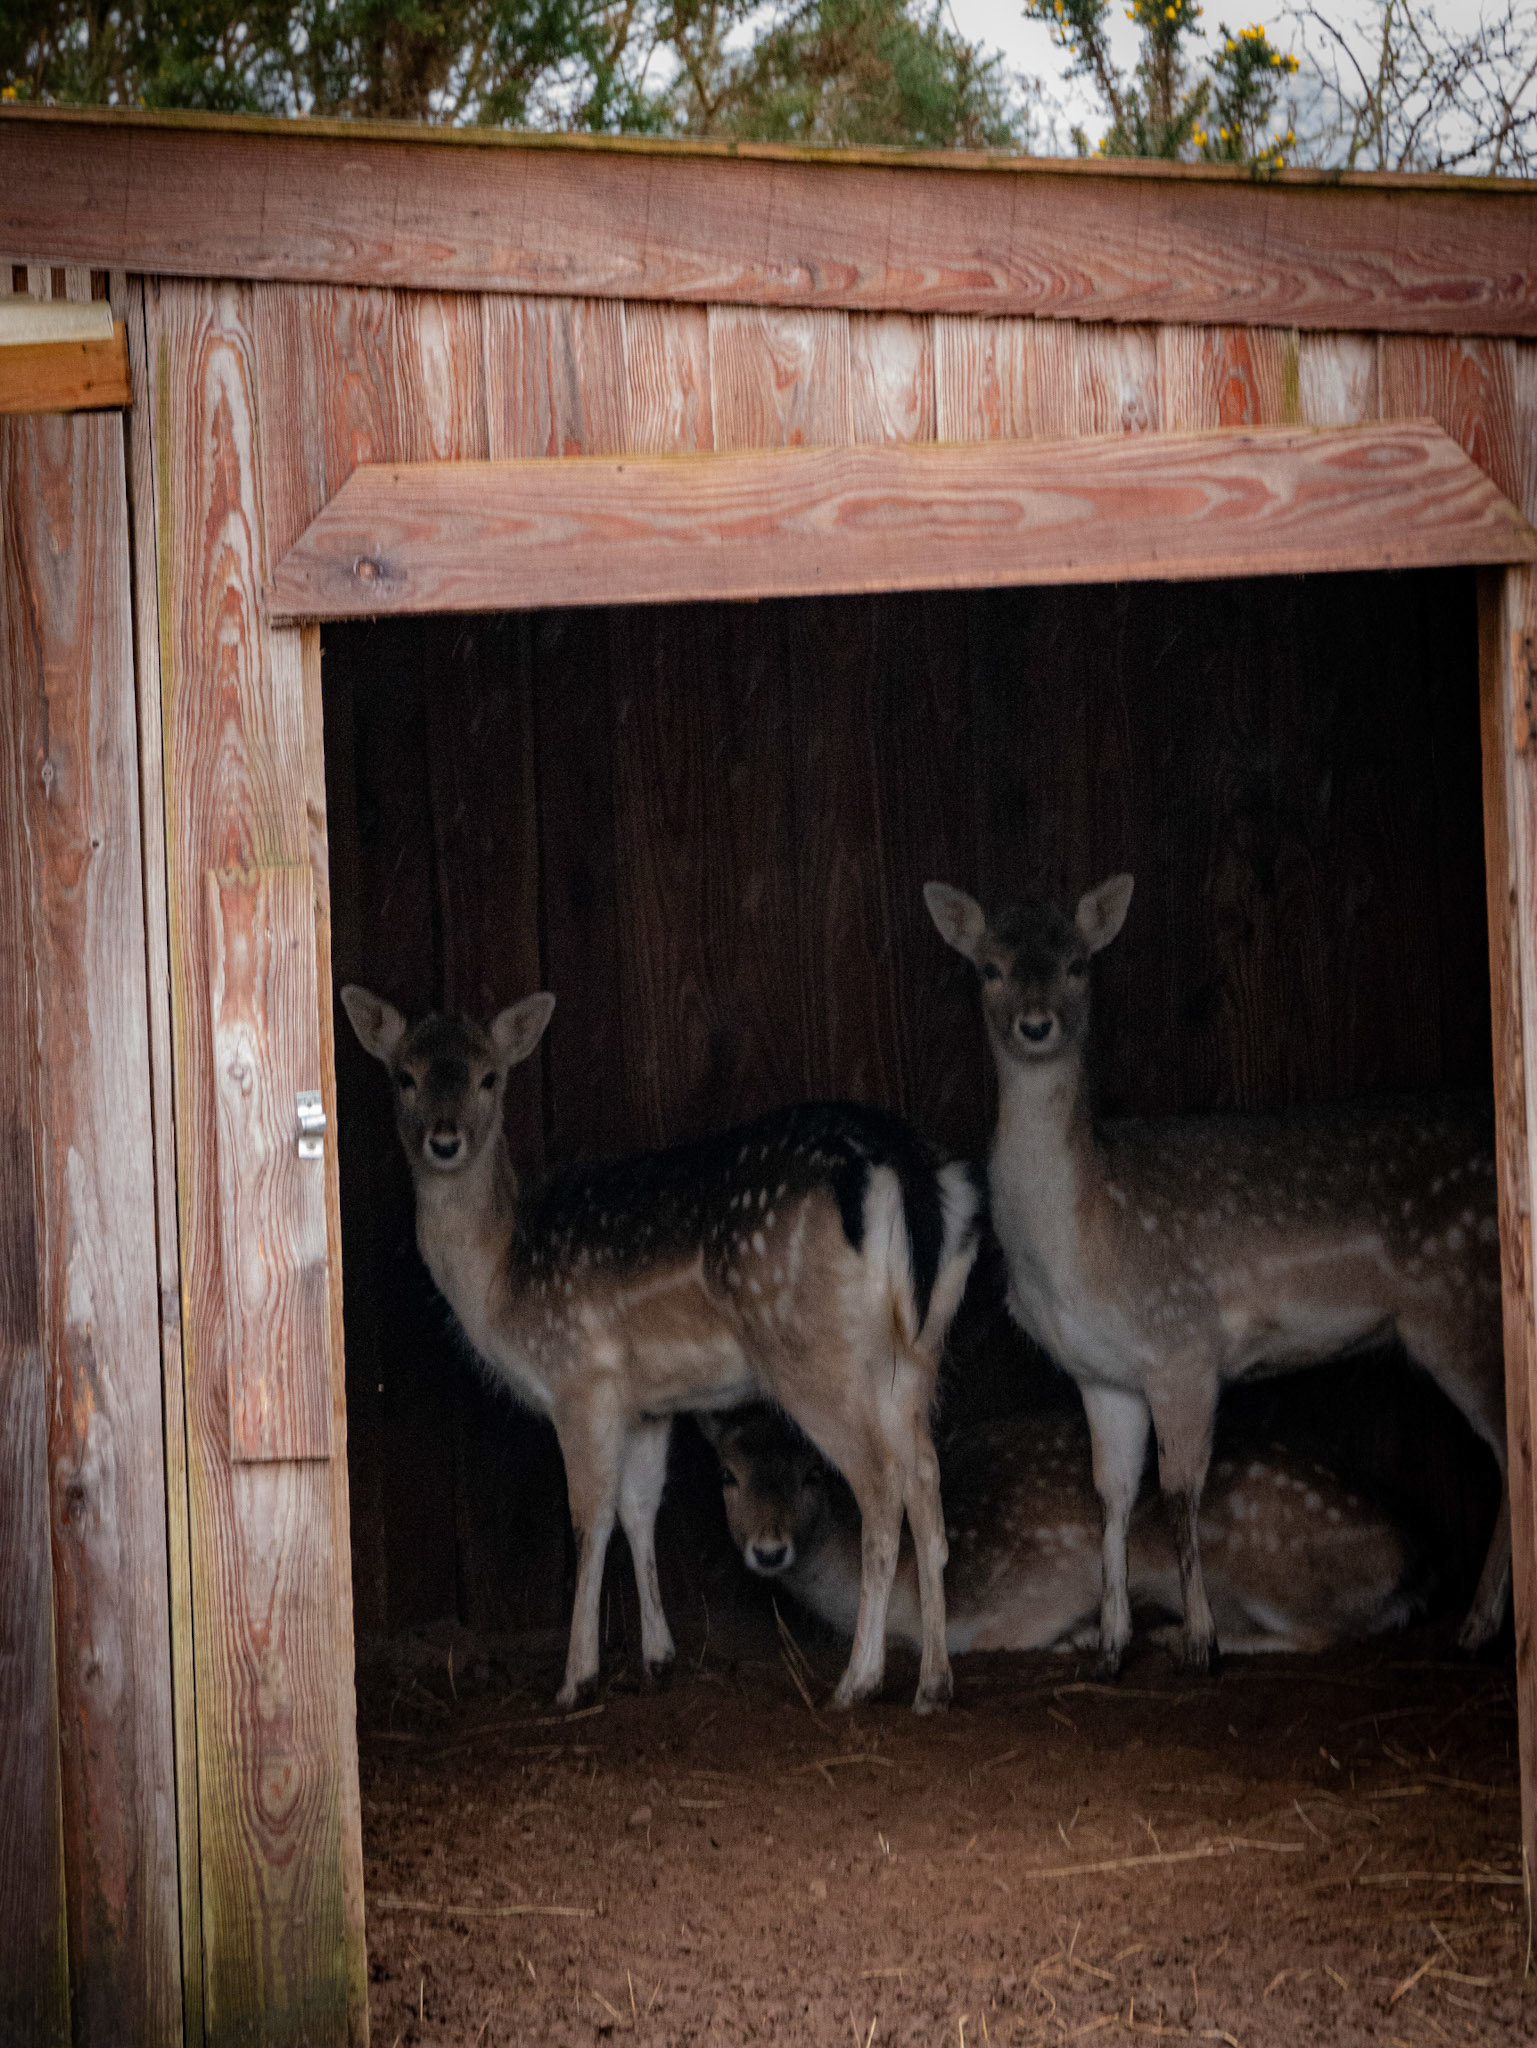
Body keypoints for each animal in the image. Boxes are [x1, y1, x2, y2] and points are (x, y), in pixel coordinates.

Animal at [341, 986, 981, 1712]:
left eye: (489, 1077)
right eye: (404, 1076)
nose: (443, 1141)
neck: (501, 1274)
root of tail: (903, 1166)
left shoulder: (579, 1376)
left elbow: (588, 1518)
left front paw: (575, 1679)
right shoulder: (648, 1404)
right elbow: (638, 1509)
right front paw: (658, 1657)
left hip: (810, 1349)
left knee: (880, 1486)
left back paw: (856, 1681)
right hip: (916, 1351)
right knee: (926, 1484)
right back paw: (932, 1684)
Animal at [703, 1403, 1420, 1658]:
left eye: (812, 1474)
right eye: (727, 1474)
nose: (769, 1548)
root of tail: (1415, 1560)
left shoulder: (1017, 1596)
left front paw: (1082, 1635)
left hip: (1265, 1561)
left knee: (1323, 1634)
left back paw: (1181, 1636)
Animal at [922, 877, 1509, 1679]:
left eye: (1078, 965)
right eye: (989, 968)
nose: (1035, 1026)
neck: (1080, 1246)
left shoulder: (1183, 1343)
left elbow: (1178, 1492)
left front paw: (1198, 1642)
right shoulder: (1100, 1372)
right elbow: (1110, 1497)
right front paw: (1109, 1648)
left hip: (1461, 1308)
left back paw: (1477, 1629)